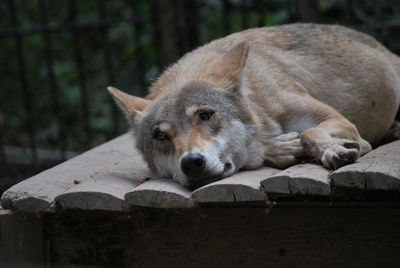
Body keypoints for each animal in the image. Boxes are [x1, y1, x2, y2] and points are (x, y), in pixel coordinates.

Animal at [107, 23, 400, 191]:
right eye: (160, 136)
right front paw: (280, 148)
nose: (191, 162)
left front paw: (333, 150)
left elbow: (309, 133)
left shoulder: (338, 119)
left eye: (205, 115)